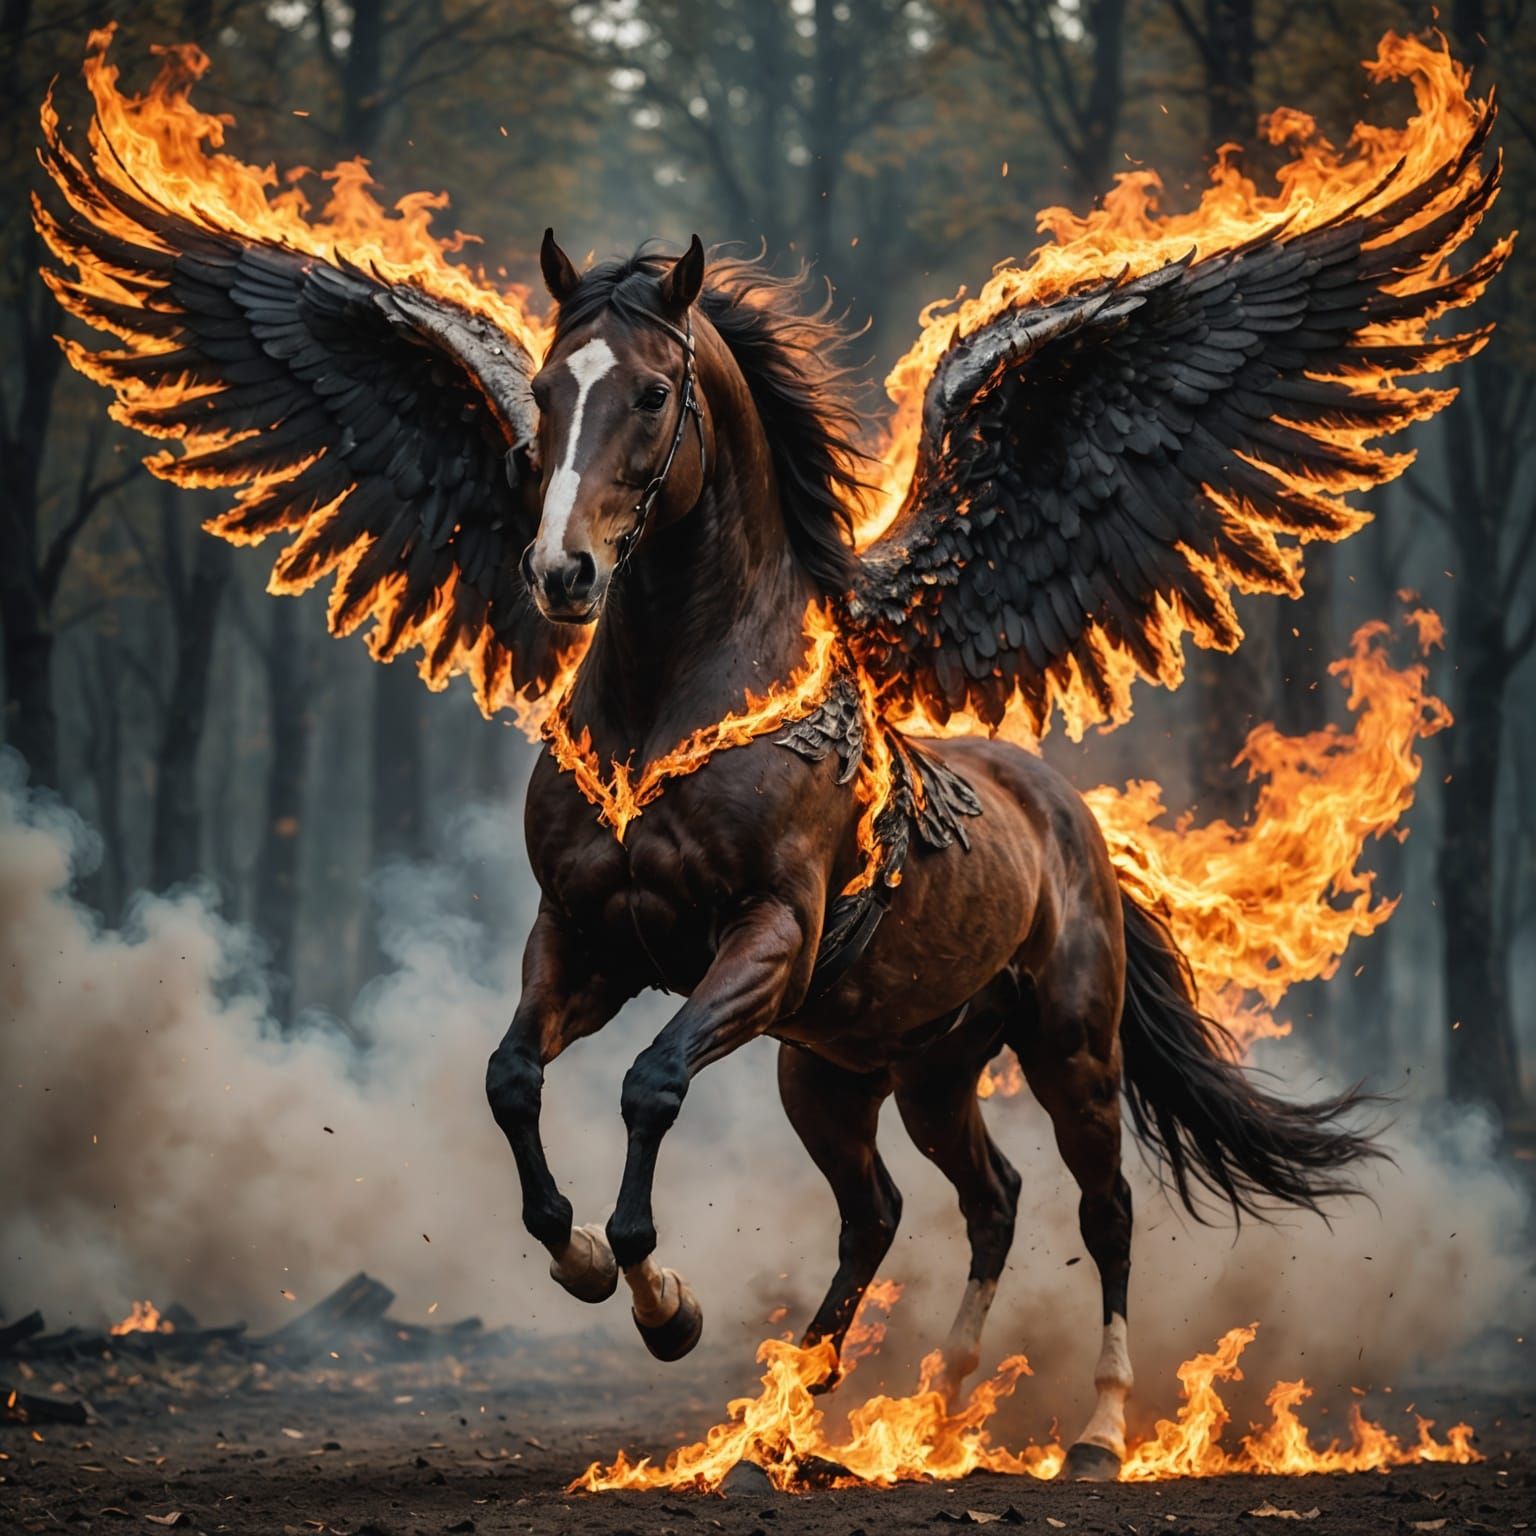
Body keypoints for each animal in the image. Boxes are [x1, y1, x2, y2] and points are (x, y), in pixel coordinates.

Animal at [482, 236, 1380, 1481]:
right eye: (546, 389)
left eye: (653, 394)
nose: (562, 572)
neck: (666, 710)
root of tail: (1071, 819)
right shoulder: (581, 940)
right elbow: (513, 1077)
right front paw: (577, 1258)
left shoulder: (764, 939)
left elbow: (650, 1084)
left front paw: (660, 1299)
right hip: (883, 1072)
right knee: (934, 1207)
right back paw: (861, 1411)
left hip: (1066, 1050)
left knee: (1100, 1210)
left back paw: (1095, 1430)